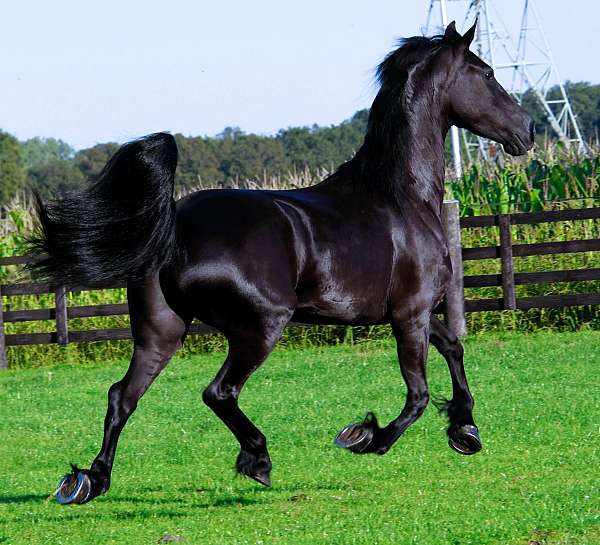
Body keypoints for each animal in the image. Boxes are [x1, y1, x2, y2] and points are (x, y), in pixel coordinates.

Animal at [29, 22, 536, 506]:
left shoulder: (416, 310)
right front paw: (365, 437)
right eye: (488, 73)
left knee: (123, 396)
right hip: (262, 326)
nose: (528, 130)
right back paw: (257, 458)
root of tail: (172, 226)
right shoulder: (409, 314)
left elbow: (453, 347)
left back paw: (89, 480)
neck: (402, 197)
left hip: (163, 332)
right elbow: (418, 394)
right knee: (218, 392)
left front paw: (465, 429)